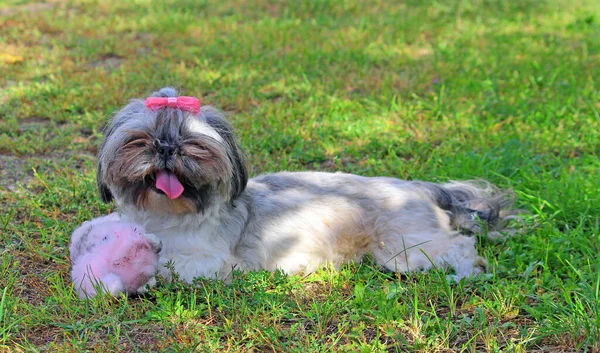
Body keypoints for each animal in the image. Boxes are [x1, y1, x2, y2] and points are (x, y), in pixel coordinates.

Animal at [97, 86, 516, 284]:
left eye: (192, 144)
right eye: (141, 141)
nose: (166, 148)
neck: (167, 216)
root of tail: (419, 188)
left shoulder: (209, 262)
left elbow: (164, 265)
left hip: (404, 249)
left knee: (460, 246)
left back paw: (466, 271)